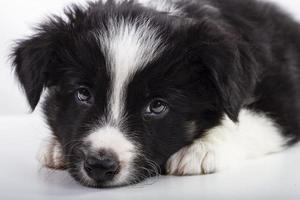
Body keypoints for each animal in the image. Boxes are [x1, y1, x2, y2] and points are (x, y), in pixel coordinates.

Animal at [11, 0, 300, 188]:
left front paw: (201, 149)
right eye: (83, 94)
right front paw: (55, 146)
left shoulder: (283, 96)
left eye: (157, 106)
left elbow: (247, 120)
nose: (101, 165)